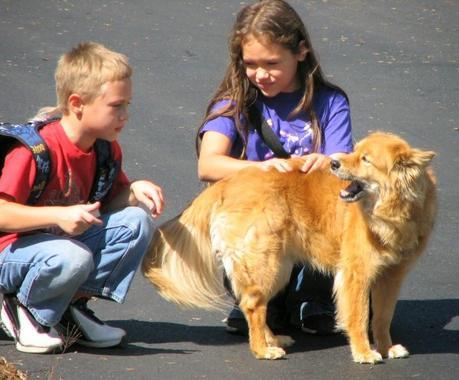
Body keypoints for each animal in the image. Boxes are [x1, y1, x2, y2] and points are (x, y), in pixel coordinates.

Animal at [144, 132, 438, 364]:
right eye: (356, 152)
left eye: (364, 159)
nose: (333, 162)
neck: (392, 211)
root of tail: (229, 182)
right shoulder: (356, 274)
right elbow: (359, 316)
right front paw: (364, 352)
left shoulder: (392, 276)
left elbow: (382, 317)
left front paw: (387, 347)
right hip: (267, 264)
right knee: (253, 305)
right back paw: (262, 350)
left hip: (279, 267)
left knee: (255, 305)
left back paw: (272, 340)